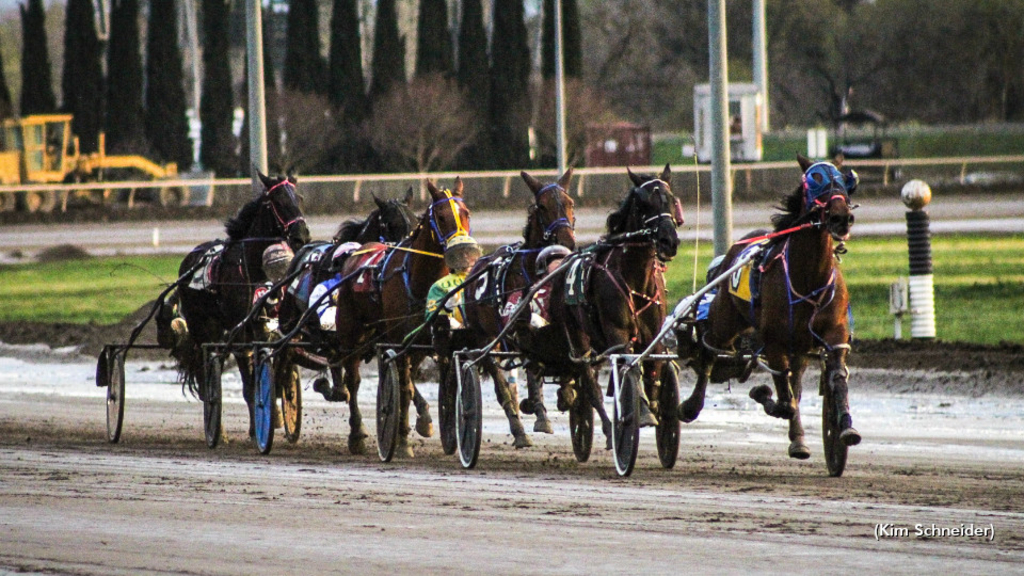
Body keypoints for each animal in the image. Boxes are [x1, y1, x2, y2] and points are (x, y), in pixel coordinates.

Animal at [333, 177, 473, 455]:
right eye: (441, 216)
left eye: (466, 213)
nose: (463, 252)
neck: (420, 283)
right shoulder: (400, 342)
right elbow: (403, 388)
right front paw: (401, 440)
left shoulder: (426, 342)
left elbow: (425, 386)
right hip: (350, 331)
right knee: (352, 379)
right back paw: (357, 434)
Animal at [462, 168, 581, 446]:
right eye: (542, 206)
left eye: (570, 203)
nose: (567, 240)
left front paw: (562, 395)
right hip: (486, 339)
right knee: (500, 384)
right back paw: (518, 429)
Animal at [520, 166, 679, 457]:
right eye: (644, 204)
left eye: (672, 200)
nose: (668, 240)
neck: (634, 278)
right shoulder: (617, 334)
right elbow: (628, 369)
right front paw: (639, 413)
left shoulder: (654, 334)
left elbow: (655, 366)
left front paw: (657, 407)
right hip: (578, 337)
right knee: (588, 380)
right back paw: (605, 427)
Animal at [679, 154, 864, 473]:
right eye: (814, 183)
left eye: (843, 182)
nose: (841, 218)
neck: (808, 278)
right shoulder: (775, 341)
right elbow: (785, 399)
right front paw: (763, 394)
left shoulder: (834, 336)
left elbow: (833, 378)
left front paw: (844, 426)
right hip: (725, 320)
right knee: (709, 351)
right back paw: (690, 405)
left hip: (799, 346)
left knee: (795, 381)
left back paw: (799, 440)